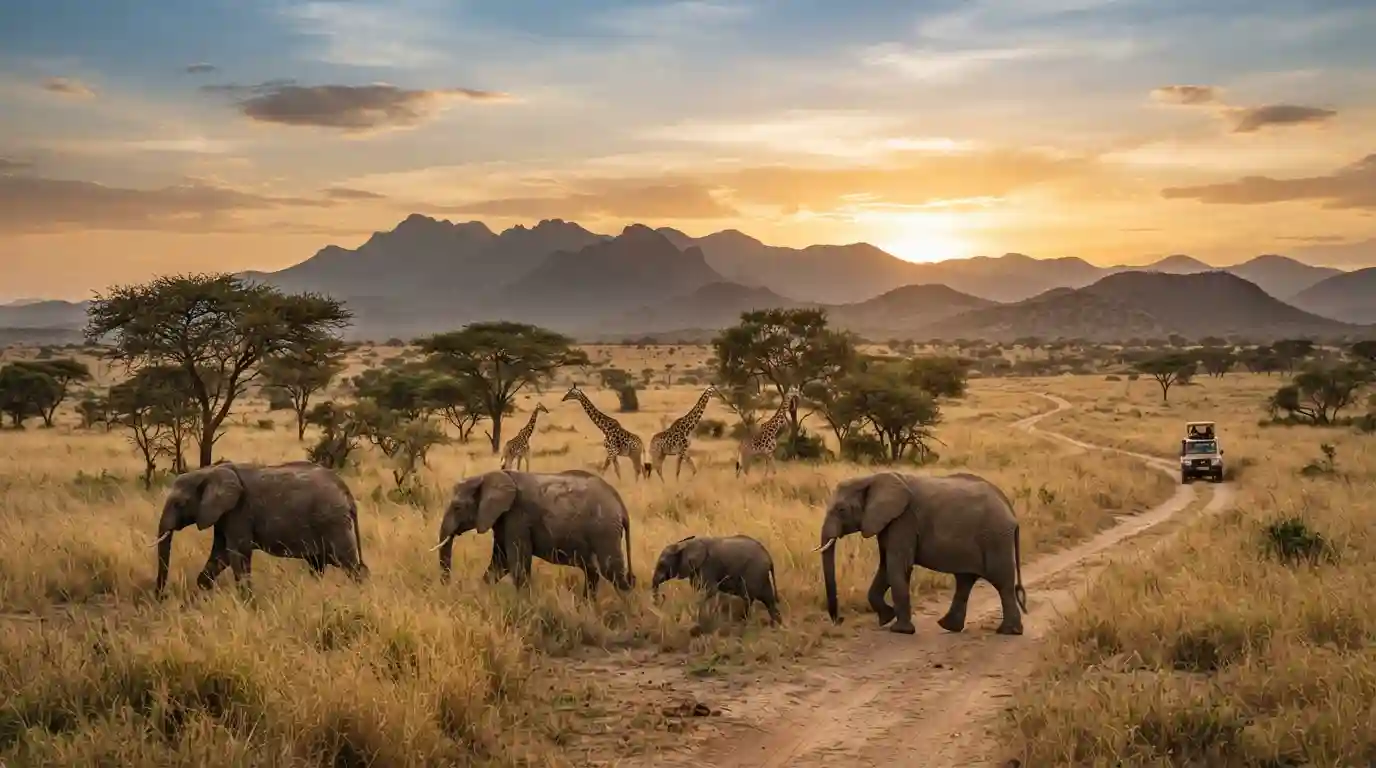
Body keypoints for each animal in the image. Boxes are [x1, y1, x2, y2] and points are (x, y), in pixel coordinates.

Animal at [151, 460, 368, 597]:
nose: (161, 596)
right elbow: (221, 554)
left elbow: (237, 554)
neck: (210, 471)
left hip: (334, 522)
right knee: (318, 564)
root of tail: (346, 492)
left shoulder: (239, 511)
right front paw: (204, 592)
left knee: (349, 565)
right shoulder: (224, 514)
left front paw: (247, 602)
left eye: (179, 504)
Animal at [432, 469, 635, 597]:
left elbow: (517, 564)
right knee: (593, 571)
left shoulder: (518, 517)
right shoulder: (503, 518)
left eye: (457, 507)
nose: (447, 586)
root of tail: (621, 505)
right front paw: (481, 595)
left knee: (611, 571)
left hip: (605, 530)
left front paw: (524, 605)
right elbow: (500, 562)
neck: (486, 475)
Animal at [651, 534, 782, 626]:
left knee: (749, 598)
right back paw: (776, 626)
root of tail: (769, 557)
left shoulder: (707, 566)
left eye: (662, 564)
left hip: (754, 571)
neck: (685, 545)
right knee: (768, 600)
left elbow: (711, 590)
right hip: (761, 575)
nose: (660, 599)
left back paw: (743, 622)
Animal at [815, 471, 1029, 636]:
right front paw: (887, 618)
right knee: (965, 580)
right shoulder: (889, 523)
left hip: (995, 538)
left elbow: (897, 566)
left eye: (841, 510)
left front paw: (900, 630)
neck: (871, 478)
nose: (839, 620)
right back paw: (949, 626)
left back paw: (1008, 632)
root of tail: (1011, 511)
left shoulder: (903, 520)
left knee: (1001, 582)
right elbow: (885, 567)